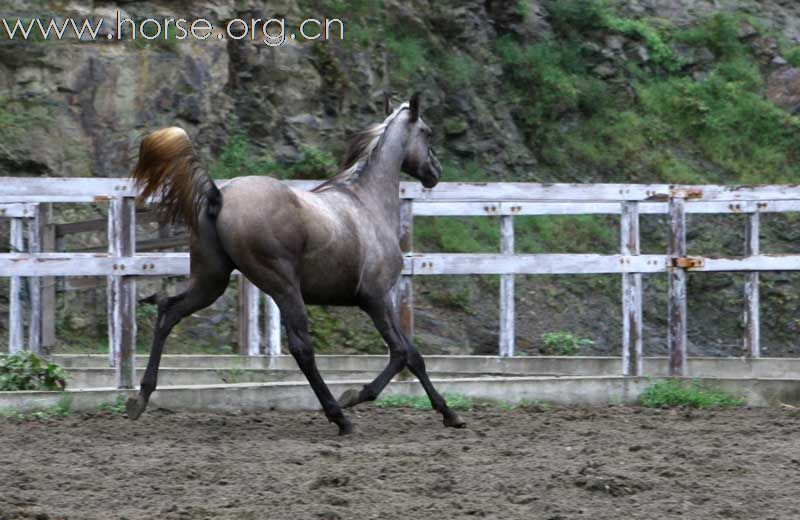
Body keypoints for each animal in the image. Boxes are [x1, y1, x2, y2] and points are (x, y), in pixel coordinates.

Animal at [127, 94, 466, 434]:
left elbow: (413, 355)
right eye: (427, 132)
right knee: (302, 349)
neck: (366, 204)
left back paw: (140, 398)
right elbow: (400, 353)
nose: (435, 171)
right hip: (283, 286)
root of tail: (218, 194)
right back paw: (339, 417)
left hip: (211, 280)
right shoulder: (376, 297)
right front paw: (353, 396)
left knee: (168, 310)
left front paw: (450, 413)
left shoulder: (383, 299)